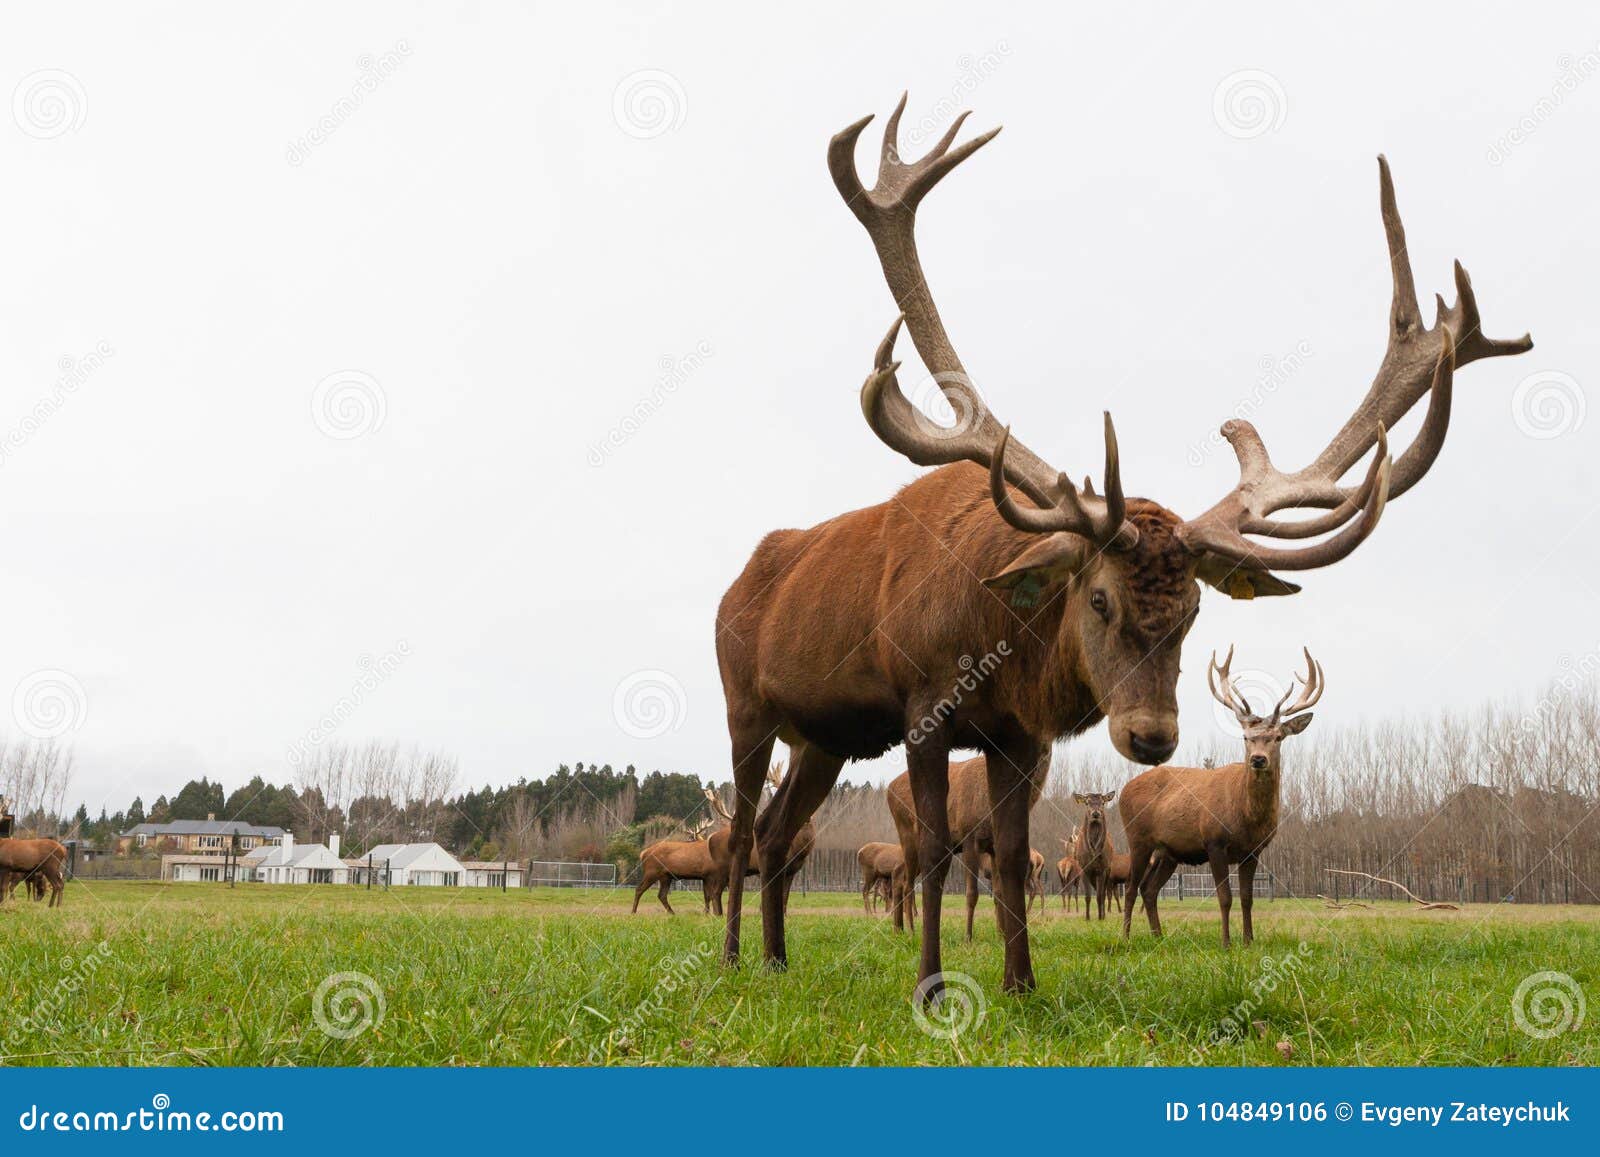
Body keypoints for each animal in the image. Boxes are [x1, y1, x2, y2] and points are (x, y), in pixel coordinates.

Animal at [1120, 646, 1318, 947]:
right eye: (1246, 737)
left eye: (1278, 737)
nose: (1258, 759)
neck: (1247, 816)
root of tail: (1122, 791)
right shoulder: (1214, 840)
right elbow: (1225, 898)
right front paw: (1226, 942)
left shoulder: (1253, 851)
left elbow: (1247, 899)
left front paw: (1248, 941)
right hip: (1137, 838)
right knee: (1131, 888)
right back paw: (1126, 937)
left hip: (1168, 852)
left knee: (1148, 888)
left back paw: (1158, 937)